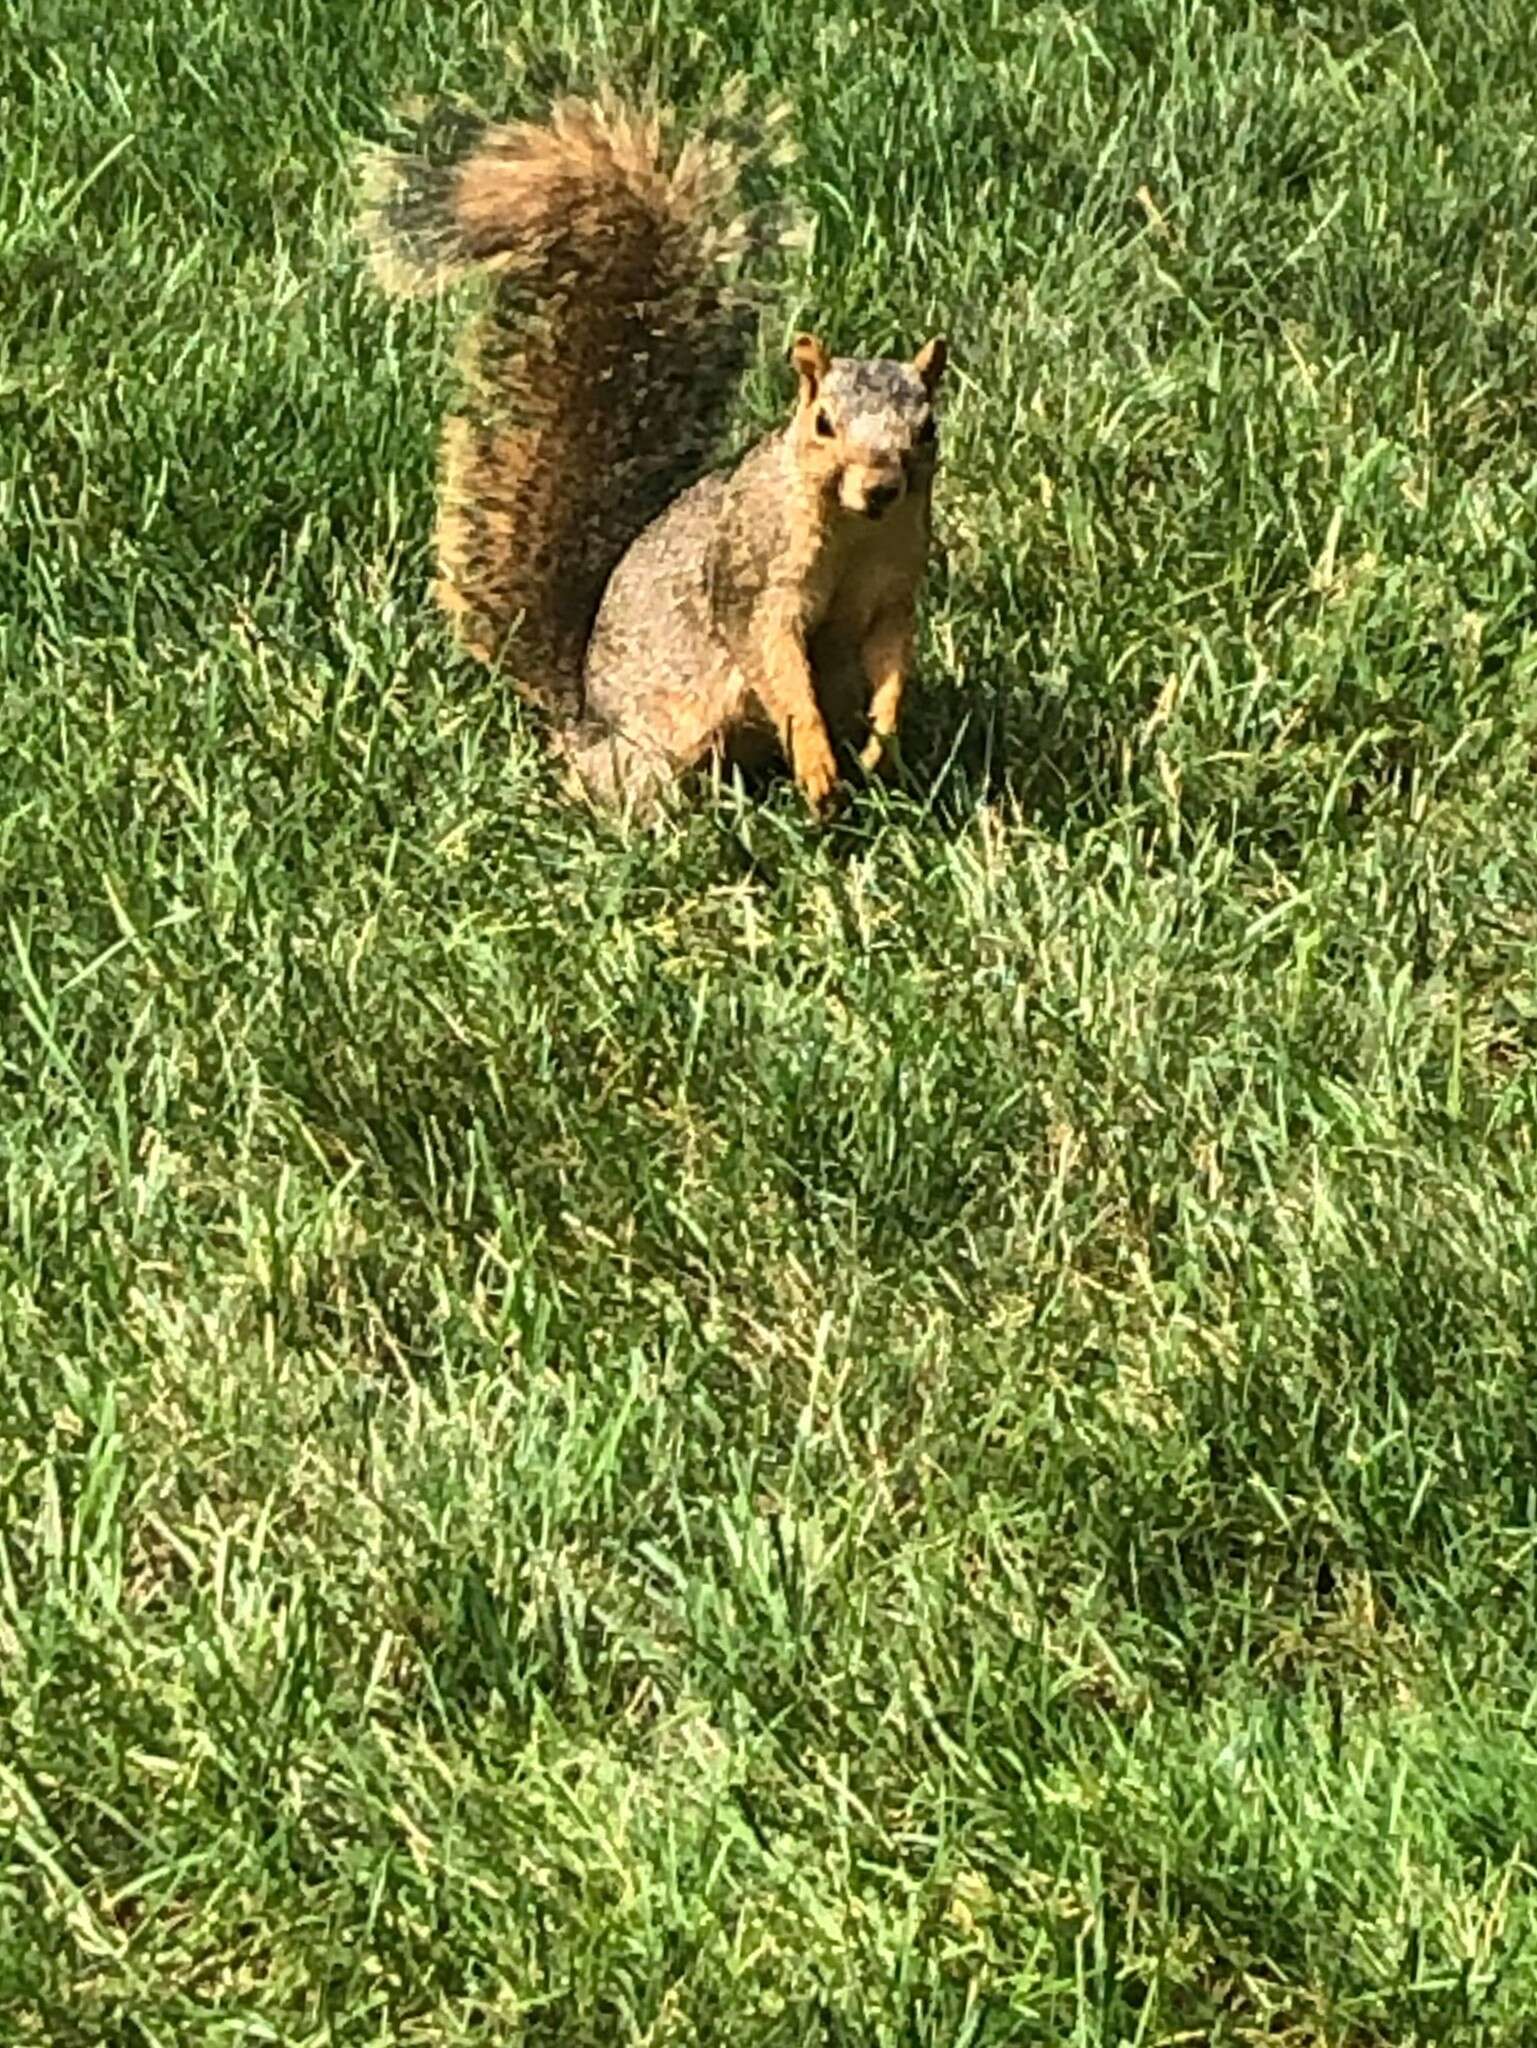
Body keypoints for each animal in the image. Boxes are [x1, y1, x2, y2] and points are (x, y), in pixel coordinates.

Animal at [360, 92, 946, 815]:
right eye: (824, 423)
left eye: (927, 428)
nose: (881, 488)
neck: (855, 531)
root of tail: (580, 728)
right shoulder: (754, 581)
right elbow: (776, 663)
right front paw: (815, 760)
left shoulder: (893, 587)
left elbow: (891, 662)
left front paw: (881, 742)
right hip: (657, 752)